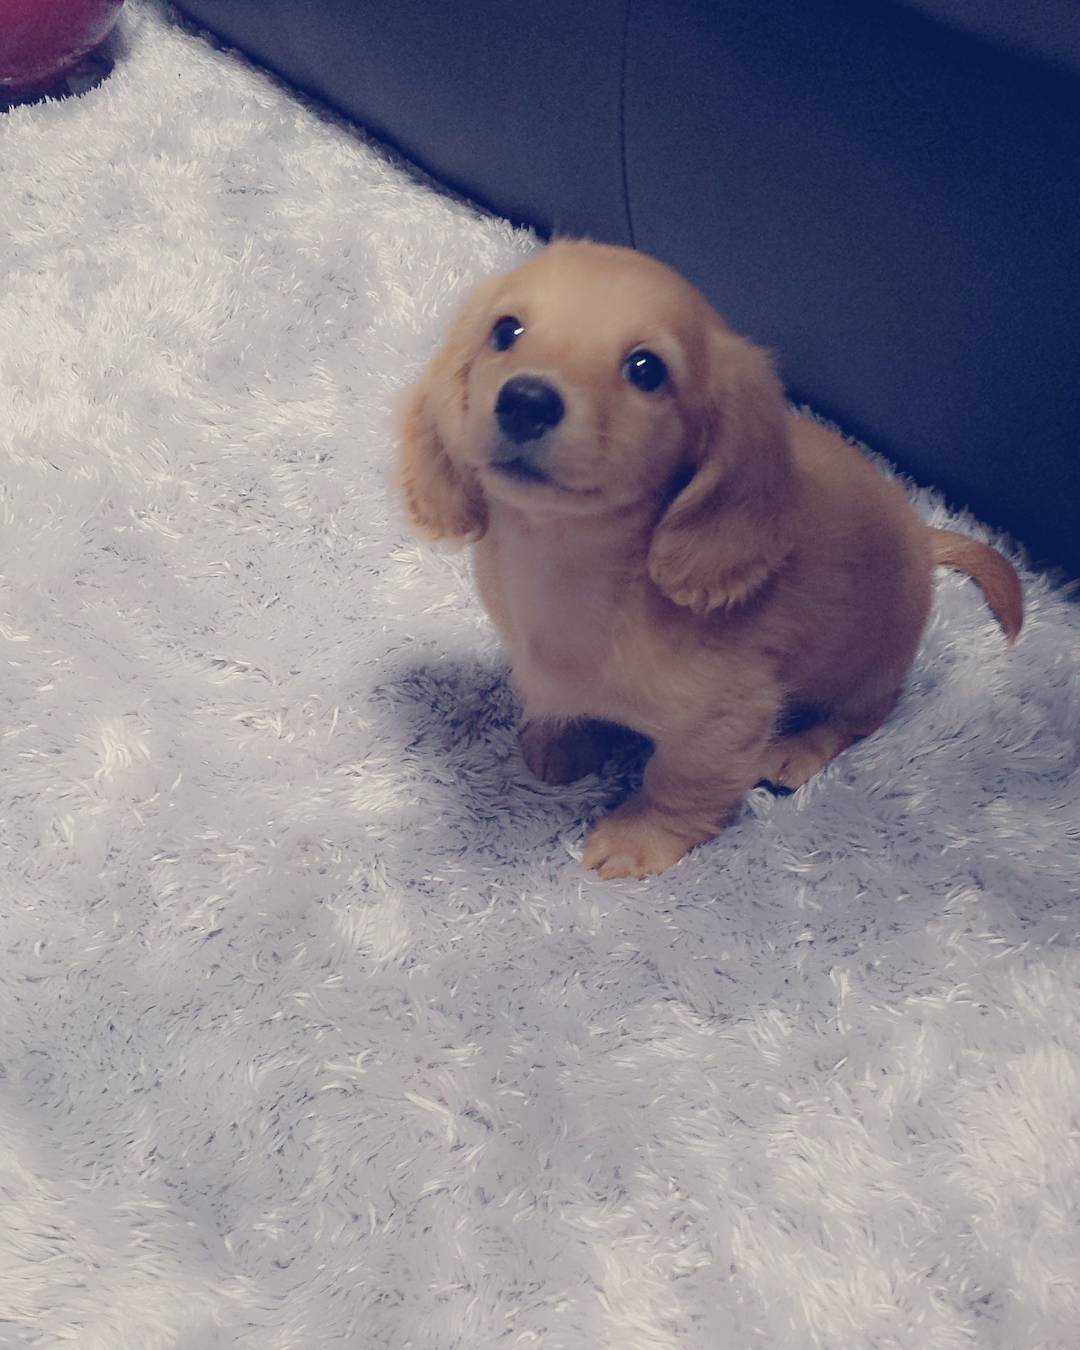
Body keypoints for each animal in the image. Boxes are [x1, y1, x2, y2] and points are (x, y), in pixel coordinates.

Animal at [398, 241, 1023, 879]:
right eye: (506, 331)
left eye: (646, 369)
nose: (526, 401)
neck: (567, 563)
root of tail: (919, 537)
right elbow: (562, 704)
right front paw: (562, 737)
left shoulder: (725, 721)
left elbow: (679, 785)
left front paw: (638, 838)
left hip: (869, 665)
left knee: (860, 716)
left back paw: (798, 749)